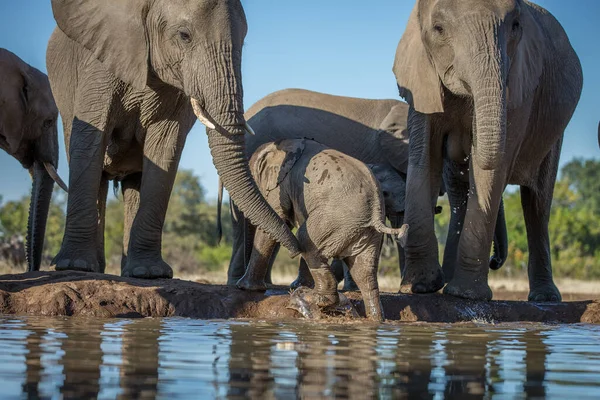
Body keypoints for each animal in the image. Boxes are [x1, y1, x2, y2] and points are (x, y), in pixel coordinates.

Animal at [47, 0, 300, 278]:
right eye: (184, 36)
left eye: (242, 42)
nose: (298, 249)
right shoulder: (98, 65)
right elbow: (90, 139)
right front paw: (74, 266)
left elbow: (164, 148)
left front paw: (150, 273)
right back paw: (91, 268)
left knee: (133, 183)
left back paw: (129, 271)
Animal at [234, 138, 408, 322]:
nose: (291, 253)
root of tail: (375, 213)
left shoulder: (281, 184)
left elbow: (277, 221)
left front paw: (246, 288)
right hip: (363, 230)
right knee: (364, 272)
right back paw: (375, 318)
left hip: (334, 218)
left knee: (305, 240)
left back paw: (314, 298)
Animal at [394, 0, 580, 300]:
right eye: (438, 29)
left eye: (515, 26)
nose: (494, 261)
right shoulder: (421, 79)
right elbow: (425, 160)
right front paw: (418, 288)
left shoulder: (519, 89)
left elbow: (488, 173)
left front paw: (467, 295)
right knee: (460, 193)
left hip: (553, 132)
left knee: (537, 203)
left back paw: (545, 298)